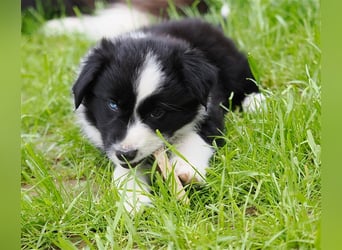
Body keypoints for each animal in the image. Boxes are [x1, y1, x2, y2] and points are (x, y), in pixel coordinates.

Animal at [71, 18, 264, 212]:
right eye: (113, 104)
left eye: (157, 113)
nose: (126, 153)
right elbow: (127, 168)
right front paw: (133, 197)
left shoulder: (210, 109)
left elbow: (196, 137)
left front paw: (187, 169)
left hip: (230, 61)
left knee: (244, 78)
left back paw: (256, 102)